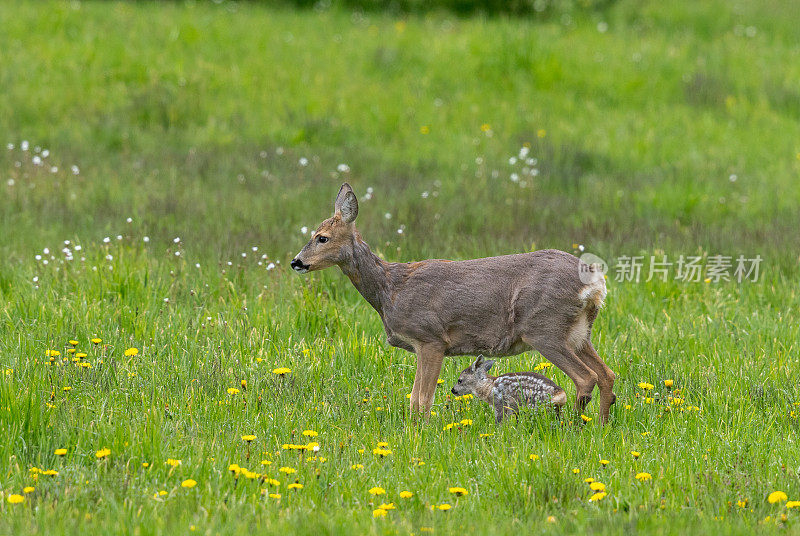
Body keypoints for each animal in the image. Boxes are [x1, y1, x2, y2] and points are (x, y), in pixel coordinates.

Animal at [290, 184, 616, 422]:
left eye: (322, 237)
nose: (297, 262)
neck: (390, 291)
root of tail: (595, 283)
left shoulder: (430, 338)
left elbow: (422, 399)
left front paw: (421, 431)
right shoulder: (423, 345)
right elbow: (414, 398)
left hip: (545, 328)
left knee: (586, 377)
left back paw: (573, 424)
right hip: (578, 333)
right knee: (607, 375)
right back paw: (600, 424)